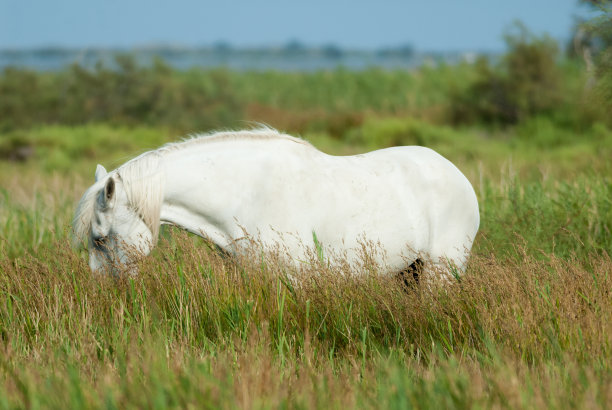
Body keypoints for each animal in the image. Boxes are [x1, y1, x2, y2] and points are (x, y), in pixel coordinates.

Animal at [73, 129, 478, 282]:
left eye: (101, 238)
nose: (103, 292)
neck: (247, 192)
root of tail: (458, 176)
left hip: (441, 270)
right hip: (410, 271)